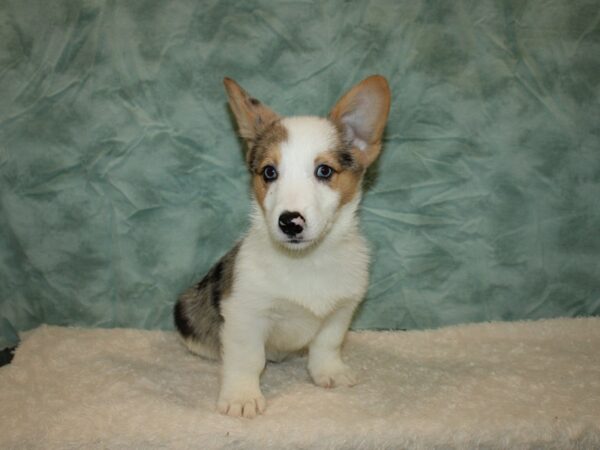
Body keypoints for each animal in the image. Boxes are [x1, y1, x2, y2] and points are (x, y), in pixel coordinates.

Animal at [173, 76, 392, 418]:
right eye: (269, 172)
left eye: (324, 171)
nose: (290, 222)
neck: (306, 260)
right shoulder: (244, 314)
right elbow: (247, 359)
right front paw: (242, 396)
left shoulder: (342, 310)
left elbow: (327, 344)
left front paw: (329, 372)